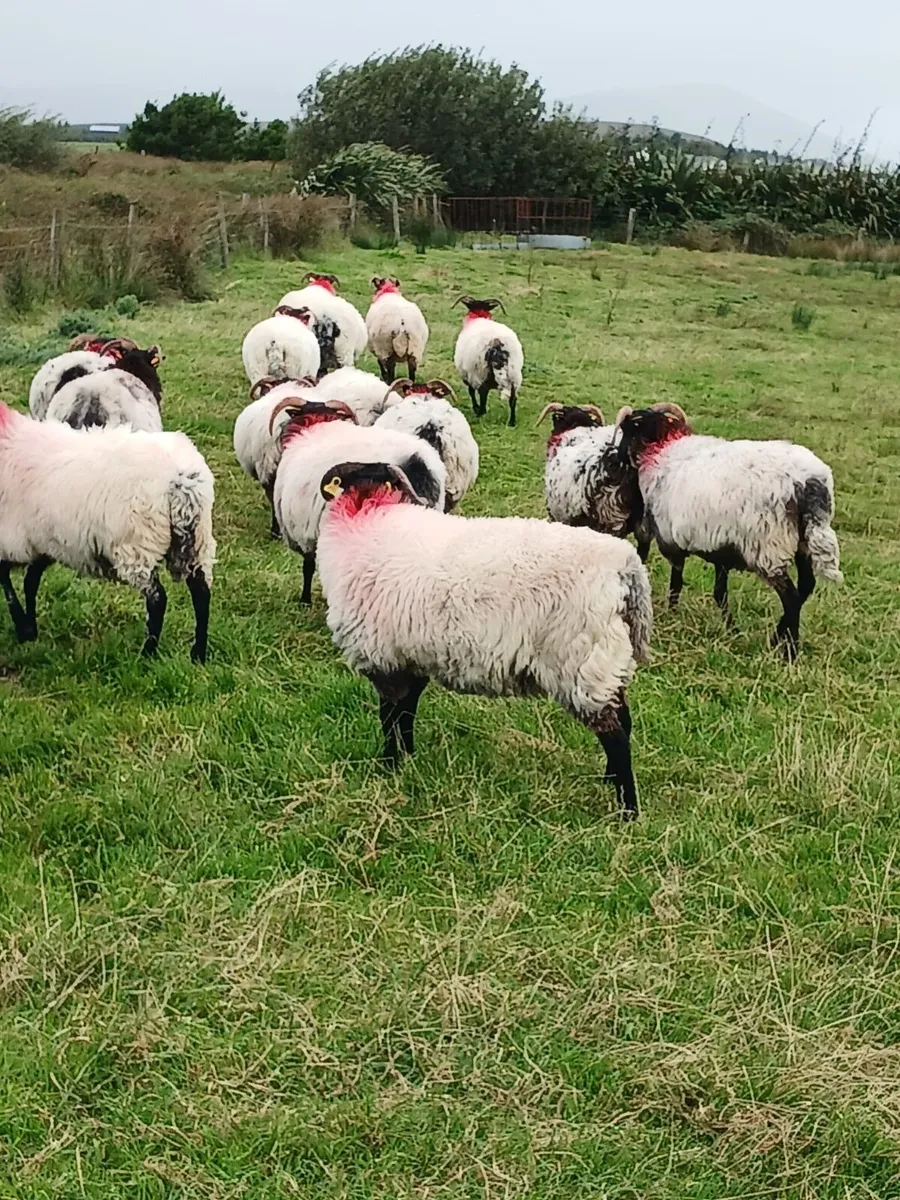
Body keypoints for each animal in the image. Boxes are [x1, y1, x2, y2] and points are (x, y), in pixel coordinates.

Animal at [0, 403, 215, 662]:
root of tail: (181, 481)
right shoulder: (43, 542)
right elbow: (30, 582)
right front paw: (30, 629)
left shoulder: (12, 541)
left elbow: (7, 582)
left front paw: (23, 628)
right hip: (198, 540)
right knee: (201, 592)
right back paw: (198, 655)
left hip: (136, 544)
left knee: (157, 599)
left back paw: (147, 655)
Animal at [315, 460, 652, 818]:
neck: (369, 515)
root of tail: (624, 567)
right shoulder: (410, 659)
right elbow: (406, 714)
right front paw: (407, 760)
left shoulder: (384, 659)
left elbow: (390, 717)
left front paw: (389, 765)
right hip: (605, 659)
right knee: (624, 720)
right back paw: (609, 780)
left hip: (579, 661)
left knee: (615, 735)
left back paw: (628, 811)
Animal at [452, 295, 524, 427]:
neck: (478, 317)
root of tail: (497, 343)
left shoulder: (467, 374)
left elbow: (471, 392)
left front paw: (476, 408)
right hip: (514, 374)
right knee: (513, 399)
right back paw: (512, 422)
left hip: (479, 371)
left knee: (483, 393)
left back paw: (480, 412)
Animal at [615, 403, 842, 660]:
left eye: (628, 430)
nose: (618, 457)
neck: (662, 450)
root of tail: (811, 484)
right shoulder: (720, 549)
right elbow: (719, 592)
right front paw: (731, 629)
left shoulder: (671, 542)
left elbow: (676, 584)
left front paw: (671, 613)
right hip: (801, 543)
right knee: (806, 587)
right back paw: (777, 638)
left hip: (767, 548)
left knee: (792, 598)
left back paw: (789, 653)